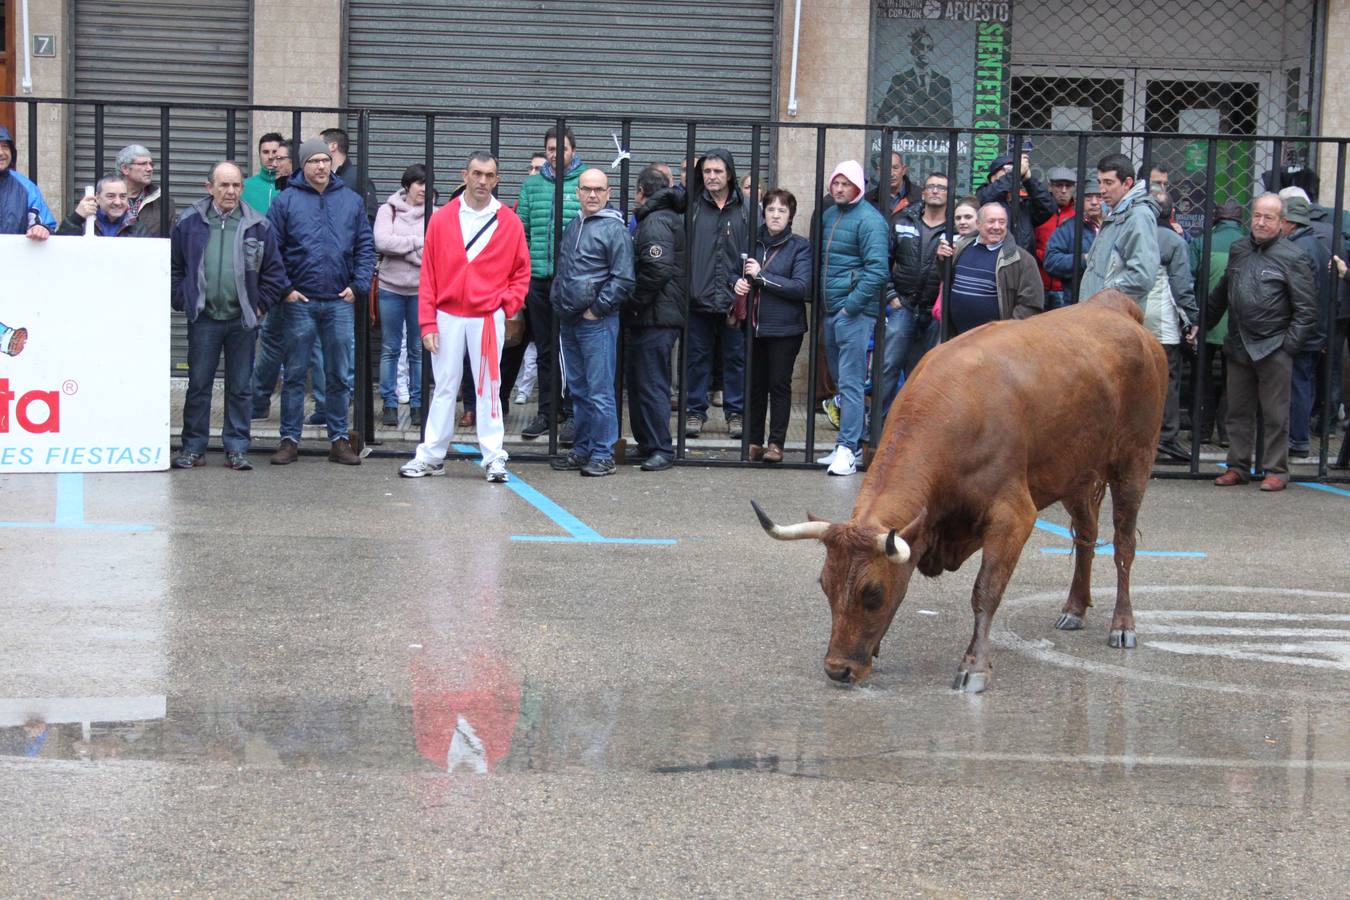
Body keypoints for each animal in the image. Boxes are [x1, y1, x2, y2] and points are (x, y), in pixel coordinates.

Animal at [756, 288, 1166, 690]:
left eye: (873, 593)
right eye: (825, 585)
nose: (837, 670)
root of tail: (1115, 305)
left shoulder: (1013, 516)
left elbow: (986, 590)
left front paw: (975, 665)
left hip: (1134, 461)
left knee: (1123, 545)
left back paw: (1122, 625)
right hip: (1076, 474)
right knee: (1086, 535)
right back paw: (1075, 608)